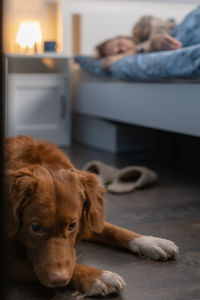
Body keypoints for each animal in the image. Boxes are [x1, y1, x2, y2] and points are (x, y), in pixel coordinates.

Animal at [5, 137, 178, 298]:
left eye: (72, 226)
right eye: (35, 227)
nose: (59, 280)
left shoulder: (88, 220)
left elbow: (114, 230)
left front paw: (150, 241)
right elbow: (33, 262)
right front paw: (97, 276)